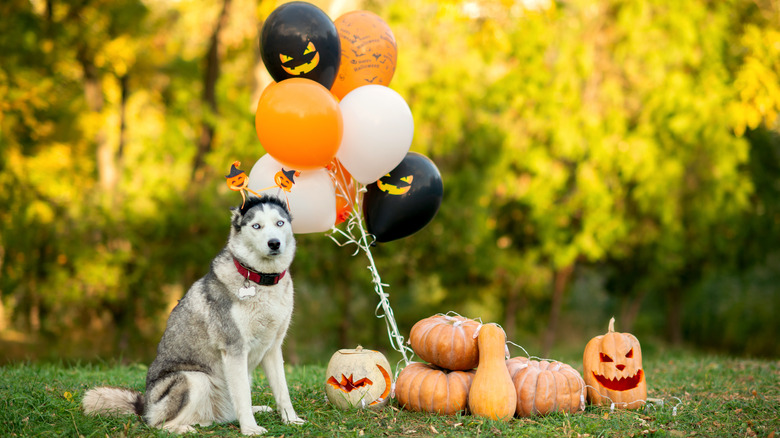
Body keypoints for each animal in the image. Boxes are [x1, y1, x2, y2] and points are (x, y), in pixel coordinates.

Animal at [83, 198, 304, 434]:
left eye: (279, 223)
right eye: (256, 226)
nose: (274, 243)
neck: (260, 280)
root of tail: (143, 408)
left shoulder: (273, 348)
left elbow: (282, 391)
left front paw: (291, 420)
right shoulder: (234, 349)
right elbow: (243, 395)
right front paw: (250, 430)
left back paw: (254, 410)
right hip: (195, 379)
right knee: (158, 425)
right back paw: (184, 429)